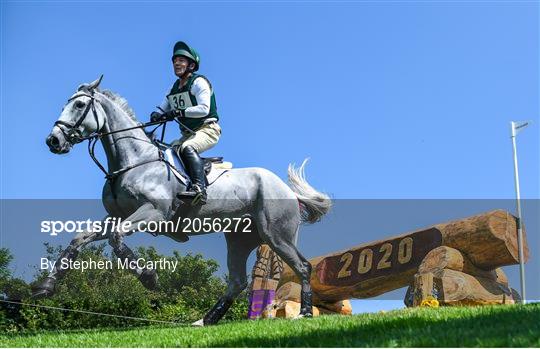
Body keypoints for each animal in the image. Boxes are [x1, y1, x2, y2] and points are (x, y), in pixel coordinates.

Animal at [35, 75, 332, 324]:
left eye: (79, 105)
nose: (53, 141)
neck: (133, 161)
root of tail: (287, 189)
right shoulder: (116, 216)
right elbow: (78, 240)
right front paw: (47, 286)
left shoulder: (153, 213)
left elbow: (117, 239)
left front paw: (149, 278)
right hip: (240, 238)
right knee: (237, 280)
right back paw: (206, 319)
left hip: (276, 235)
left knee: (302, 266)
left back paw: (305, 313)